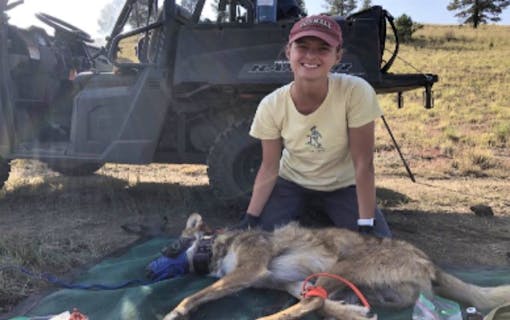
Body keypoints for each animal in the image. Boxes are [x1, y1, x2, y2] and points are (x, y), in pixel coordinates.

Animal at [162, 212, 510, 320]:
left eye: (176, 244)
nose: (161, 254)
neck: (216, 245)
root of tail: (430, 263)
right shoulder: (279, 280)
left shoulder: (247, 270)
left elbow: (193, 294)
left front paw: (176, 310)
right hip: (345, 282)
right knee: (317, 302)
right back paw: (355, 312)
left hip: (344, 267)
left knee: (309, 304)